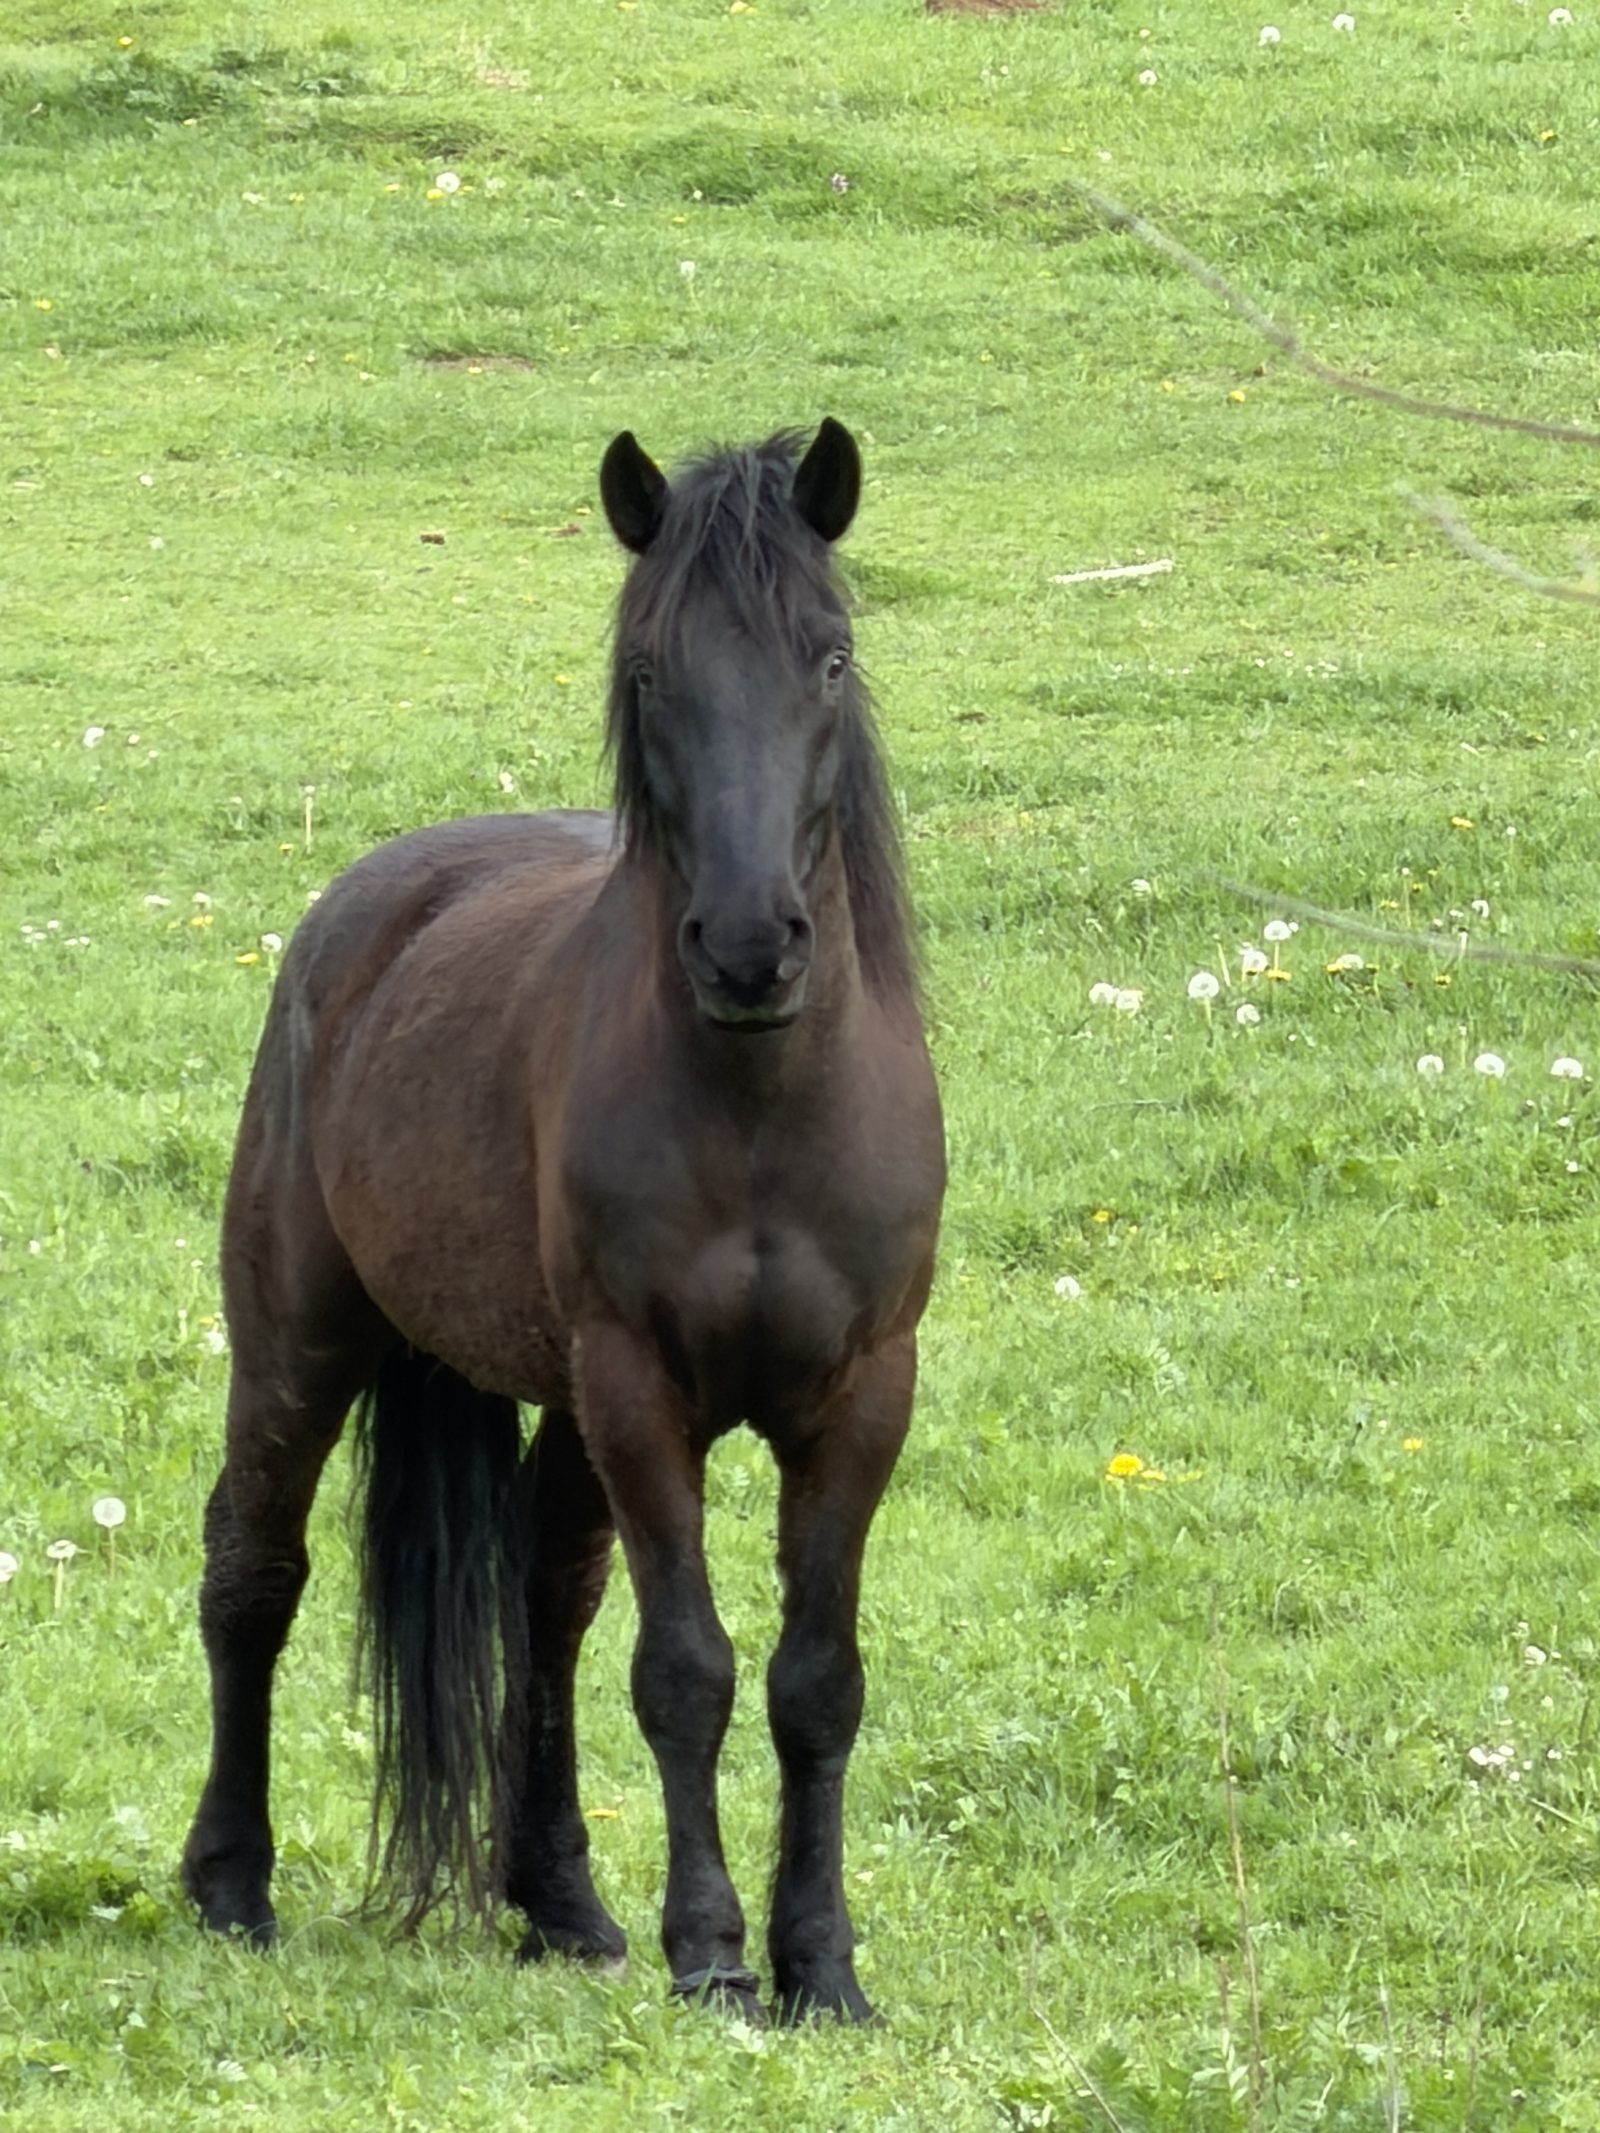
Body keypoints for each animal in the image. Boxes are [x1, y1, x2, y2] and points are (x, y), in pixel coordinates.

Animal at [179, 417, 945, 2024]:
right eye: (651, 669)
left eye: (830, 659)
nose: (749, 946)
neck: (758, 1104)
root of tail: (360, 910)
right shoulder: (638, 1385)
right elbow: (686, 1671)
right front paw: (714, 1954)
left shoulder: (862, 1396)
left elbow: (813, 1680)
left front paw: (823, 1966)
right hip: (300, 1340)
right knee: (252, 1574)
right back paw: (230, 1883)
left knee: (543, 1598)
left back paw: (562, 1904)